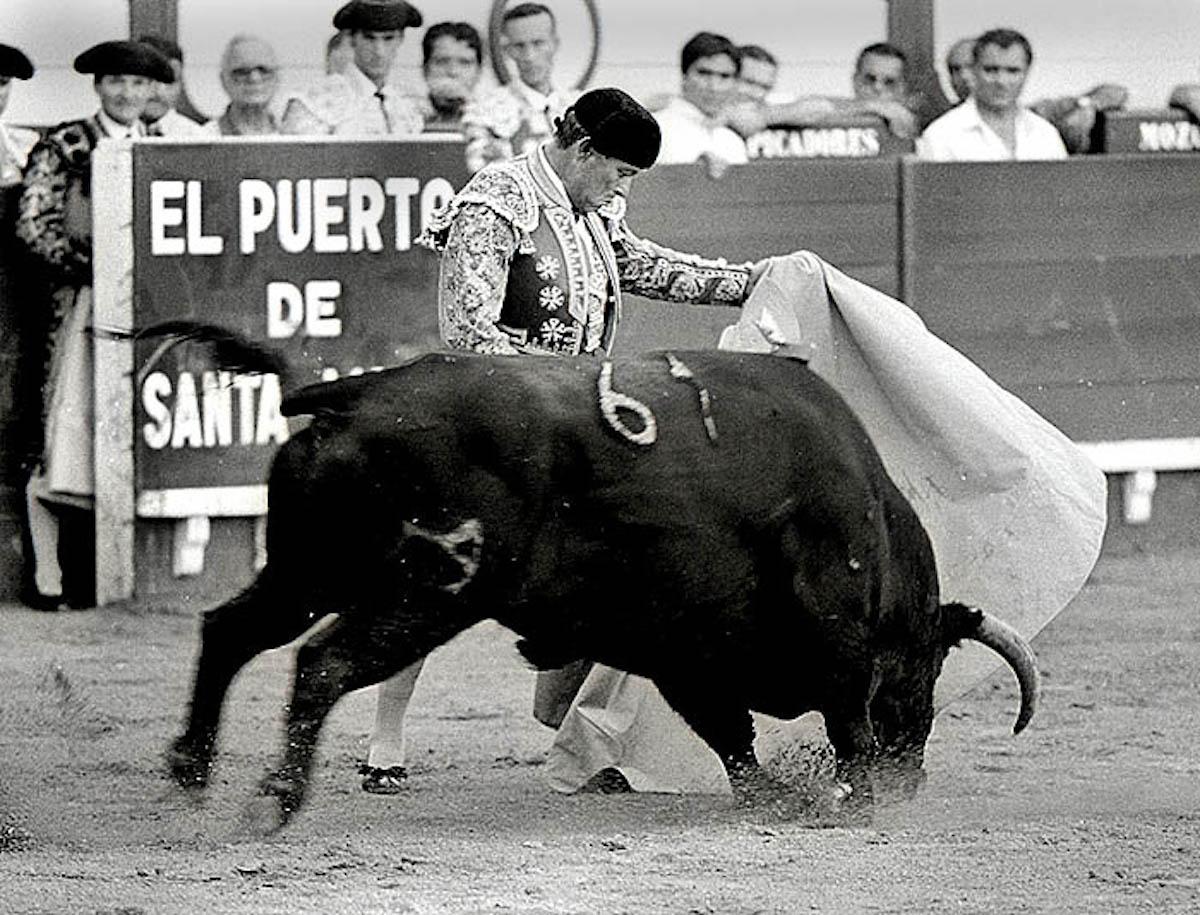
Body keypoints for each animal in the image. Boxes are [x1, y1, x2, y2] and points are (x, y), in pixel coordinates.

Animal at [159, 329, 1036, 826]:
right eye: (927, 667)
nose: (912, 775)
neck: (871, 523)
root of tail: (355, 393)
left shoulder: (689, 653)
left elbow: (732, 736)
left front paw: (774, 796)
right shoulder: (834, 644)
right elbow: (841, 723)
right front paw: (854, 803)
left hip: (309, 570)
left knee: (229, 630)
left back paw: (190, 771)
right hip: (421, 594)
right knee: (322, 663)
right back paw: (271, 800)